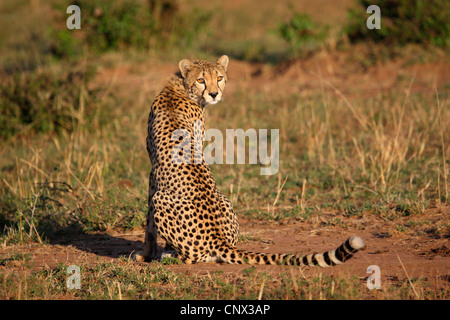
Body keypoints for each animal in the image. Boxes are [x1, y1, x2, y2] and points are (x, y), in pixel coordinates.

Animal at [134, 55, 366, 268]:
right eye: (201, 80)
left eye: (219, 78)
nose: (214, 94)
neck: (180, 87)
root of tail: (219, 240)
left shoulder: (153, 174)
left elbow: (149, 223)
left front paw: (146, 254)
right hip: (223, 198)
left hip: (163, 200)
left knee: (193, 257)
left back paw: (170, 256)